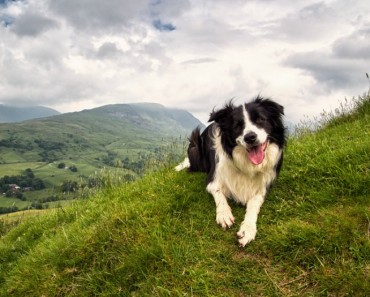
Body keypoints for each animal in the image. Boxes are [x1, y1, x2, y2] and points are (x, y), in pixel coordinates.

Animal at [176, 96, 286, 245]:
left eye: (260, 119)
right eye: (237, 126)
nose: (250, 137)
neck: (247, 164)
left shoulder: (264, 186)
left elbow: (254, 204)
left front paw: (248, 229)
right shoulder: (213, 179)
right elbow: (219, 194)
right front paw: (224, 214)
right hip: (194, 144)